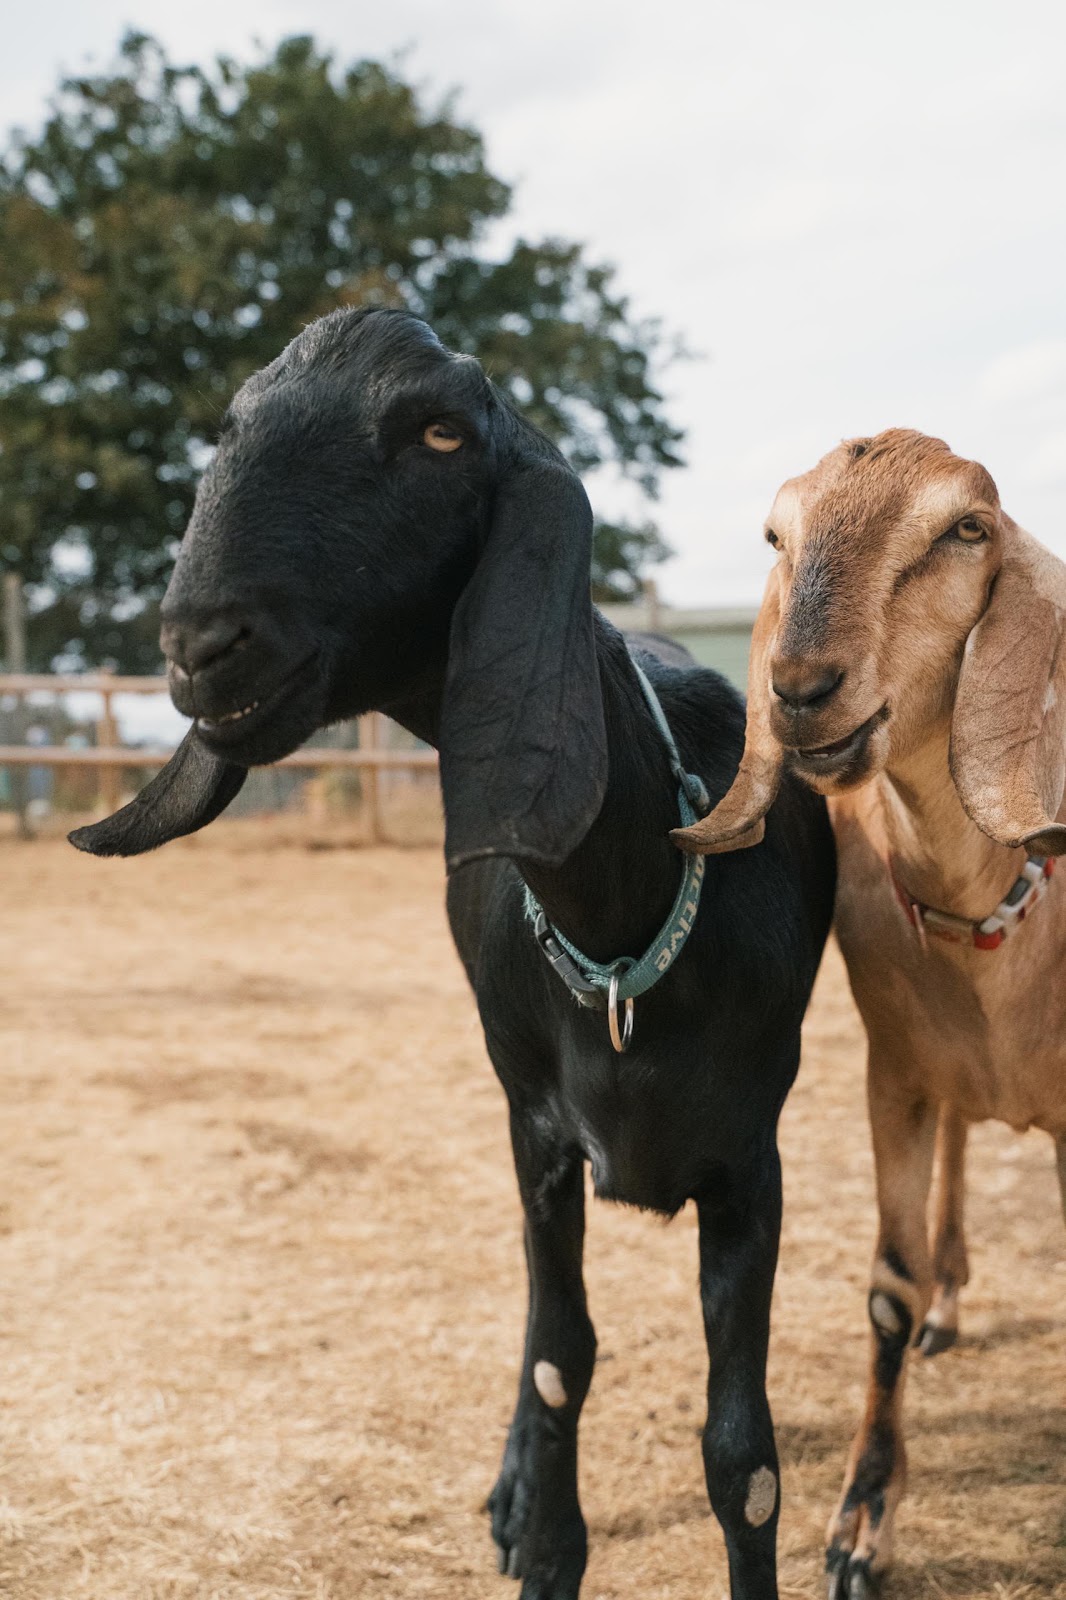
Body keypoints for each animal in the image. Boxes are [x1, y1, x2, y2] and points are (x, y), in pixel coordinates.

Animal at [70, 308, 835, 1600]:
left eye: (437, 432)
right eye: (231, 422)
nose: (199, 643)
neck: (626, 935)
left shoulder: (752, 1158)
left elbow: (744, 1458)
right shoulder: (540, 1136)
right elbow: (559, 1359)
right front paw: (543, 1536)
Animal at [675, 428, 1066, 1598]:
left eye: (964, 529)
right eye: (777, 536)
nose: (800, 689)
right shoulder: (891, 1073)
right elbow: (888, 1286)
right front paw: (860, 1522)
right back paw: (946, 1304)